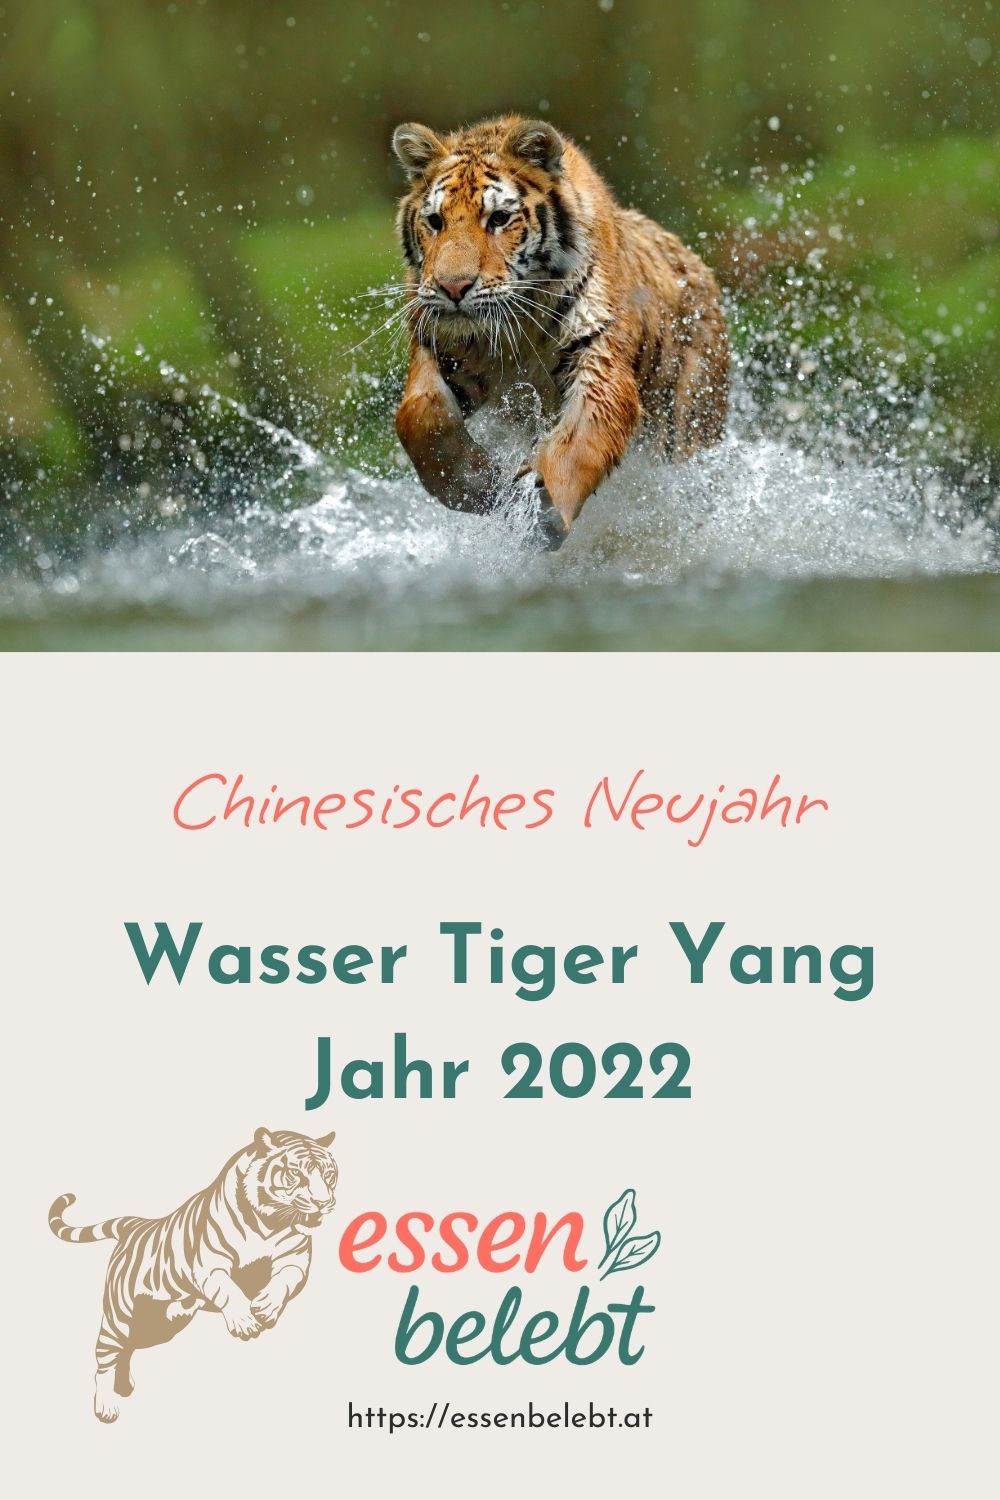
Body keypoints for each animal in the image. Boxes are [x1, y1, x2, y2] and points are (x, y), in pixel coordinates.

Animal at [48, 1125, 338, 1423]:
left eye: (329, 1174)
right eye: (296, 1174)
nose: (323, 1203)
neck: (269, 1224)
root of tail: (133, 1224)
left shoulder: (295, 1260)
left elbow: (284, 1281)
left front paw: (266, 1307)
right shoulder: (210, 1266)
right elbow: (229, 1289)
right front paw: (244, 1321)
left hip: (159, 1327)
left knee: (128, 1347)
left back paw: (124, 1385)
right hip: (119, 1317)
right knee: (105, 1360)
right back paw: (106, 1406)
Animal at [391, 114, 729, 549]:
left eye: (498, 219)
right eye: (435, 221)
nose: (454, 287)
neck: (515, 327)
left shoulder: (599, 358)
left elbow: (580, 440)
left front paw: (540, 509)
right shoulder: (438, 344)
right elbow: (418, 415)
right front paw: (479, 484)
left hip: (688, 424)